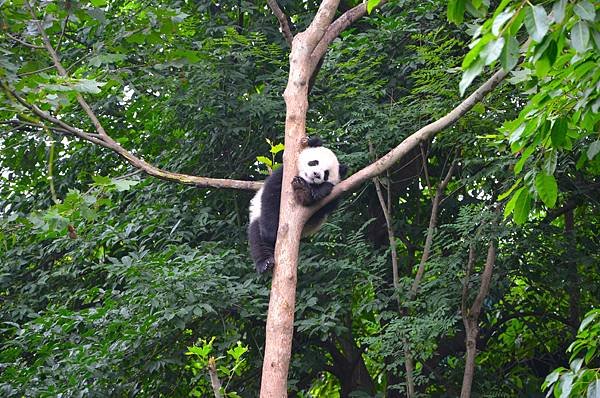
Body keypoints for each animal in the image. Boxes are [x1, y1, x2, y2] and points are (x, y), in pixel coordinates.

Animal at [247, 138, 346, 274]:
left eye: (326, 174)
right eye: (314, 162)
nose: (316, 174)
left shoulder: (335, 193)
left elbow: (323, 207)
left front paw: (312, 190)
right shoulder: (283, 176)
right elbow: (271, 196)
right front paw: (272, 233)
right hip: (257, 218)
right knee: (257, 239)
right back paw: (265, 262)